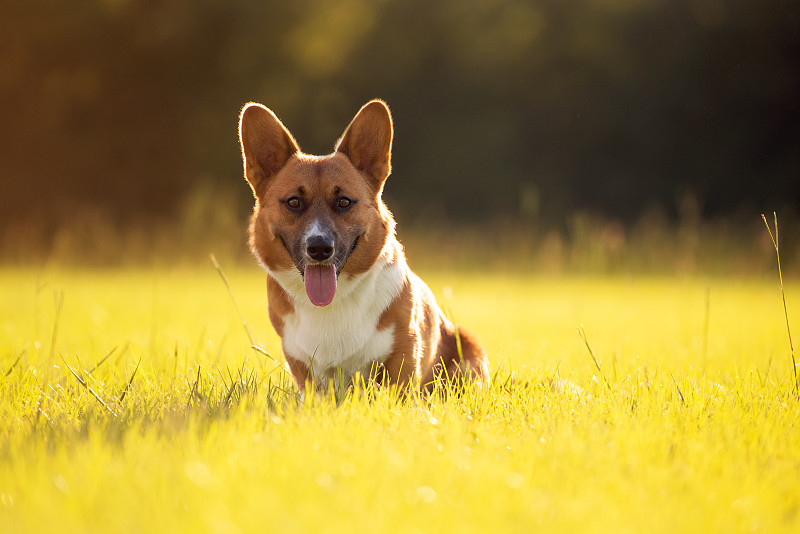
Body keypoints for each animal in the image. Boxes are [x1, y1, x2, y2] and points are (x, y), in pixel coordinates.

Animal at [238, 100, 488, 394]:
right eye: (293, 202)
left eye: (344, 202)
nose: (319, 248)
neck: (333, 303)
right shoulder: (300, 364)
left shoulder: (404, 350)